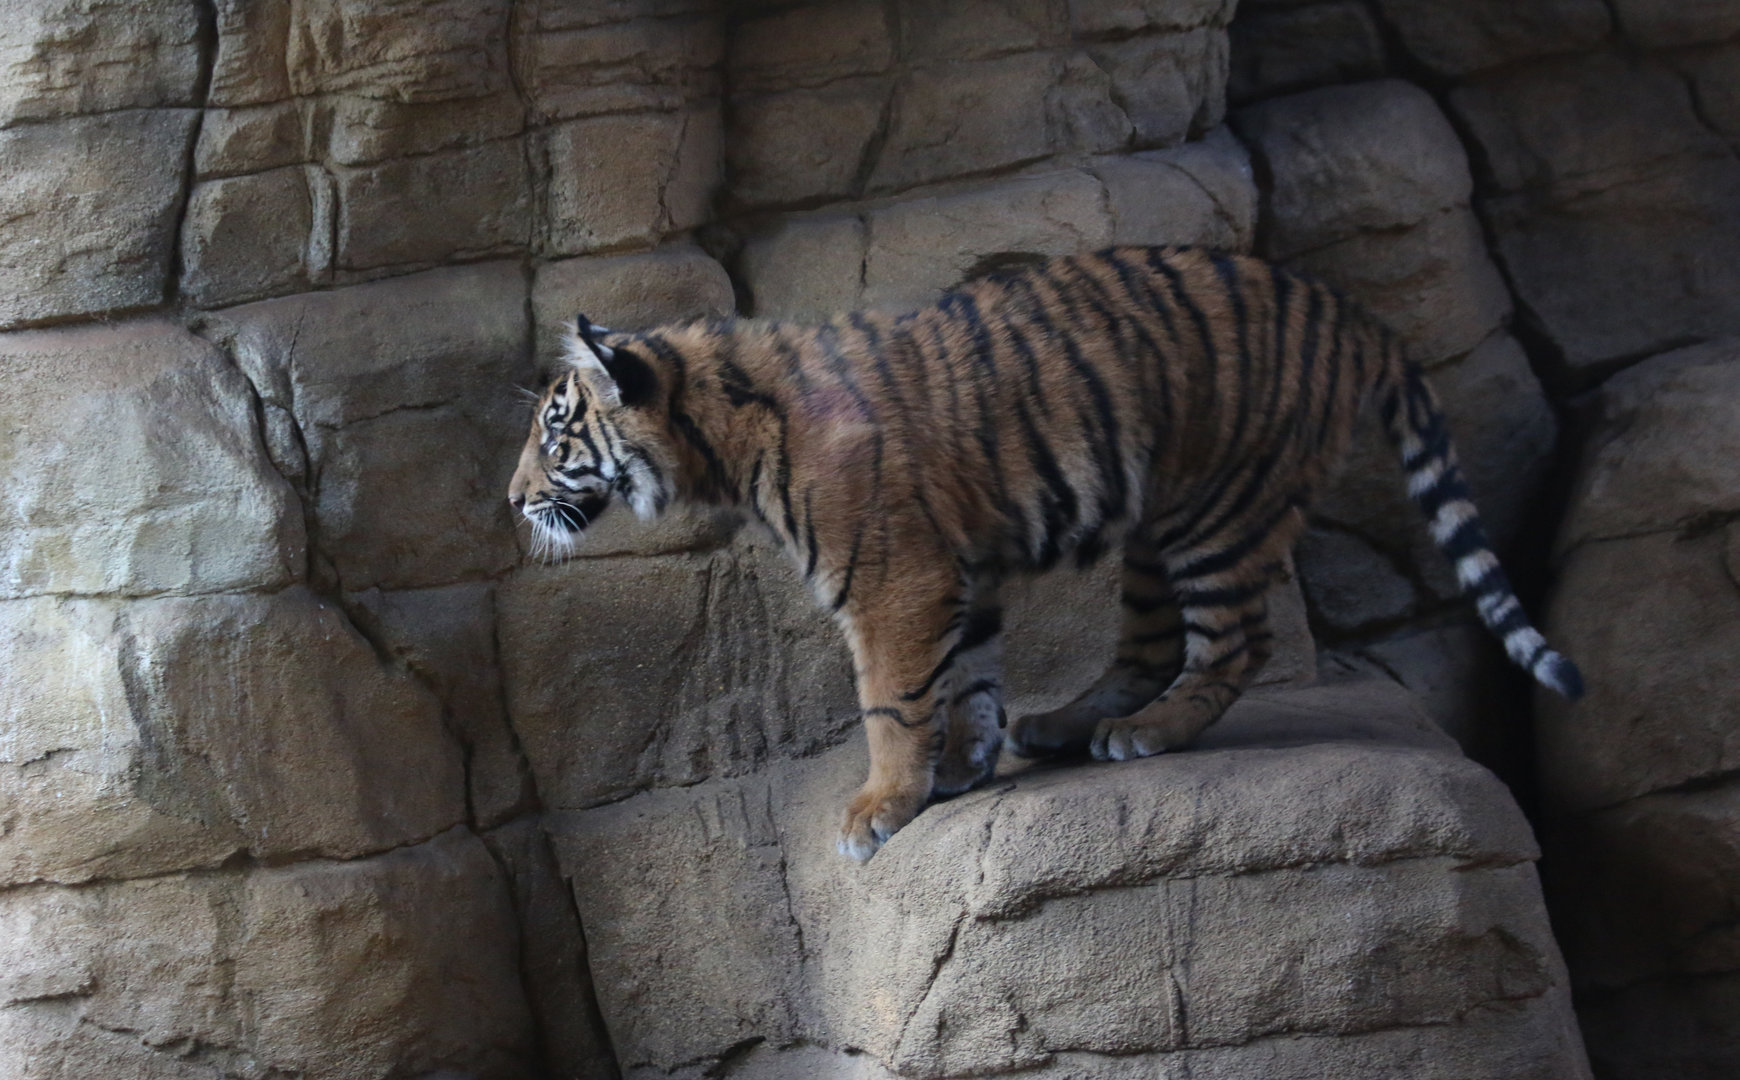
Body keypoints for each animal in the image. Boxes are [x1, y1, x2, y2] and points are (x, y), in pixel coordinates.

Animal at [507, 245, 1583, 863]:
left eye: (557, 432)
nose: (512, 500)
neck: (724, 434)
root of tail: (1347, 309)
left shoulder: (894, 582)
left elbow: (892, 699)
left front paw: (880, 808)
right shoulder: (962, 569)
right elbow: (969, 678)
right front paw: (967, 763)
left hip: (1217, 504)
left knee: (1235, 641)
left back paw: (1147, 733)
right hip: (1155, 522)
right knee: (1148, 646)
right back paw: (1070, 725)